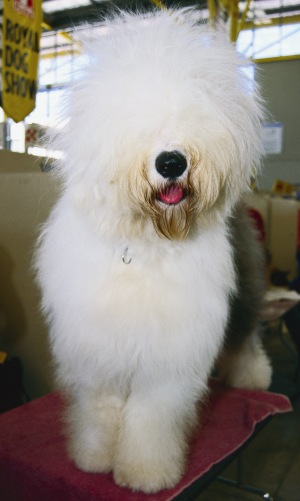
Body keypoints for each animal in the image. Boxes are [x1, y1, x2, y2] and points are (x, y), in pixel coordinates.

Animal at [35, 8, 272, 492]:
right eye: (132, 119)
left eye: (197, 112)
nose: (171, 162)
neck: (144, 245)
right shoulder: (96, 349)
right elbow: (100, 409)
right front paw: (93, 459)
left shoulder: (170, 354)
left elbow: (151, 417)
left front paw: (145, 473)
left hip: (245, 285)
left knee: (245, 333)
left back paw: (255, 375)